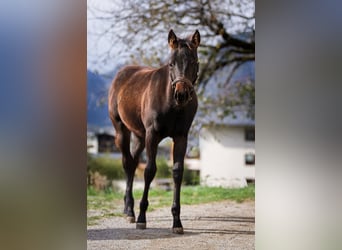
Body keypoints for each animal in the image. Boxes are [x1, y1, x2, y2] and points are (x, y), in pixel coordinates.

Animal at [108, 29, 200, 234]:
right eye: (171, 63)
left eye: (194, 62)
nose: (181, 94)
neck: (170, 102)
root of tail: (122, 74)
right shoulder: (153, 135)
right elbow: (150, 171)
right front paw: (142, 218)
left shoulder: (181, 137)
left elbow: (177, 172)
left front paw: (177, 222)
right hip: (122, 130)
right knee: (127, 162)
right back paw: (130, 212)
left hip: (140, 136)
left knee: (133, 163)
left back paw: (128, 209)